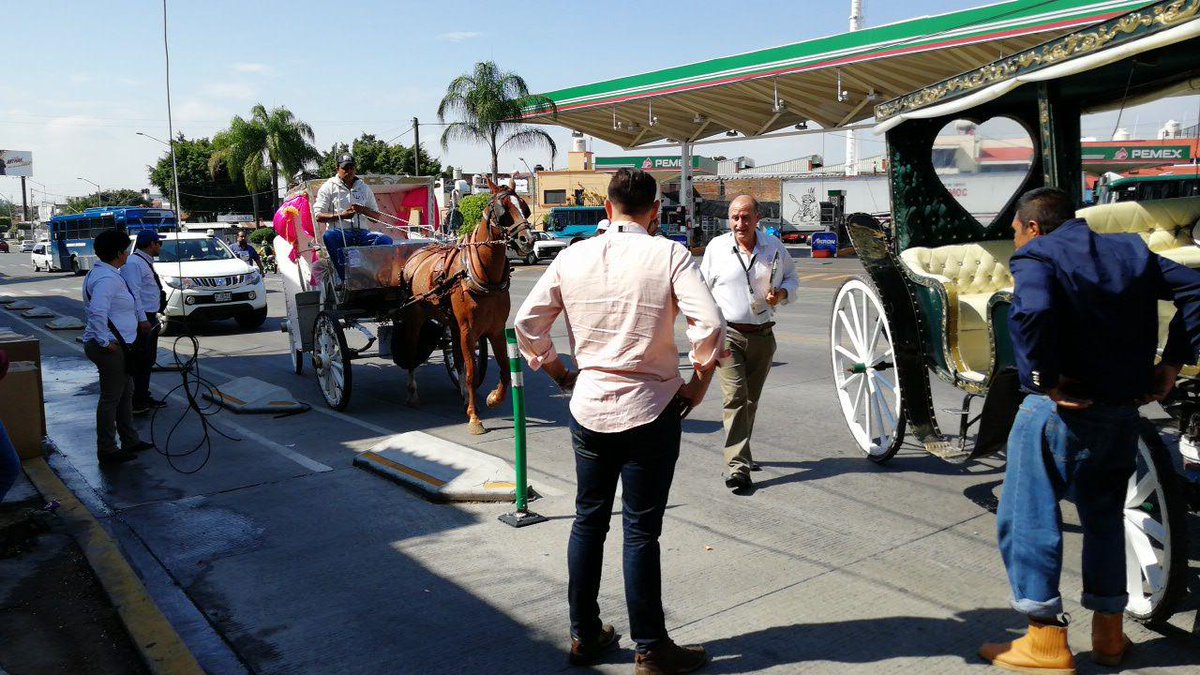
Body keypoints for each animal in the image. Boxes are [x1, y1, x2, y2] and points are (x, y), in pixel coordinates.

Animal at [398, 176, 535, 432]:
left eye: (525, 208)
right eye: (503, 211)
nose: (528, 240)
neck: (482, 275)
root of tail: (415, 254)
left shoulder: (495, 330)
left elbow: (504, 370)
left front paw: (493, 398)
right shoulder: (468, 331)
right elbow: (472, 372)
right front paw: (474, 417)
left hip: (452, 324)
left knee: (457, 358)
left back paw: (462, 392)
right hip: (415, 317)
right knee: (411, 351)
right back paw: (412, 392)